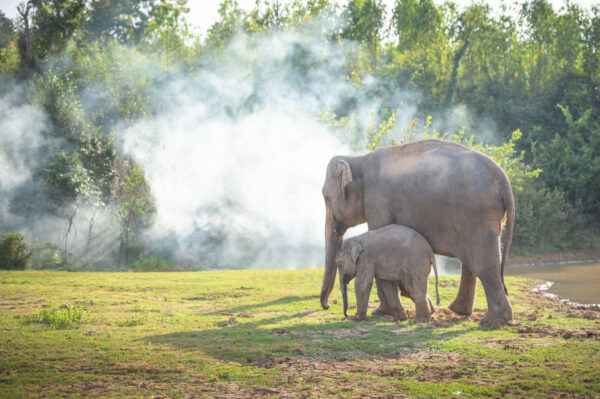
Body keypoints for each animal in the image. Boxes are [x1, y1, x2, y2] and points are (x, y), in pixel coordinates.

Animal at [322, 139, 512, 326]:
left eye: (325, 197)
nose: (327, 306)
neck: (359, 158)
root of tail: (503, 179)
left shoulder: (377, 200)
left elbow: (379, 235)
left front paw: (383, 312)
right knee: (471, 262)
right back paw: (460, 311)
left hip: (478, 214)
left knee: (483, 264)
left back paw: (492, 321)